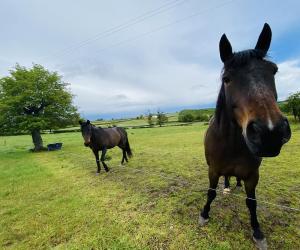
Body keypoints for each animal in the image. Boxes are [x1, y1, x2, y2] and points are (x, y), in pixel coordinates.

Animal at [199, 23, 290, 248]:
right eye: (227, 79)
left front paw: (257, 232)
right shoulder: (213, 170)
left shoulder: (252, 176)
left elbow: (252, 203)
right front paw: (204, 214)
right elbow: (211, 192)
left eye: (274, 71)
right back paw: (227, 186)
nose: (270, 132)